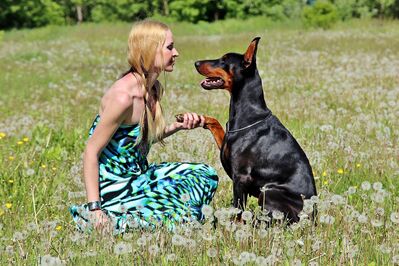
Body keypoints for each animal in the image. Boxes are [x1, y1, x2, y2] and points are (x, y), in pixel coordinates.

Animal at [192, 36, 318, 221]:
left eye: (224, 60)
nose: (196, 62)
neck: (248, 112)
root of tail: (314, 216)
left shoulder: (241, 177)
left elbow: (238, 211)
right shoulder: (225, 142)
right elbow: (216, 123)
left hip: (269, 192)